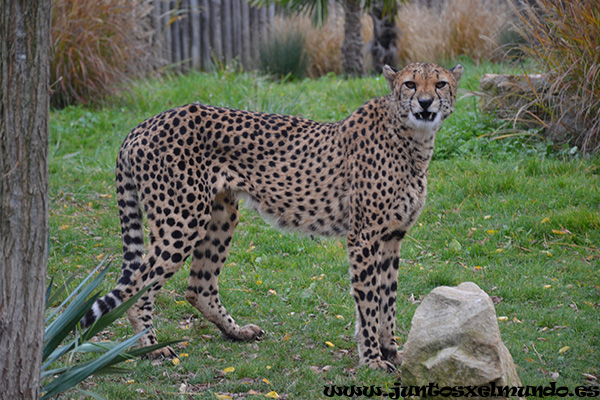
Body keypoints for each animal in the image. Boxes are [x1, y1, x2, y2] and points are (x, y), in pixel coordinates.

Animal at [81, 63, 464, 372]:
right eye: (410, 84)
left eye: (440, 84)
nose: (425, 103)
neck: (413, 139)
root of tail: (144, 124)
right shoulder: (365, 236)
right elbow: (370, 301)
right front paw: (371, 359)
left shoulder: (391, 236)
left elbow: (388, 299)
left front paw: (391, 351)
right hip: (182, 220)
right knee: (138, 286)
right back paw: (148, 348)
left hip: (220, 213)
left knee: (198, 286)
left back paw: (236, 332)